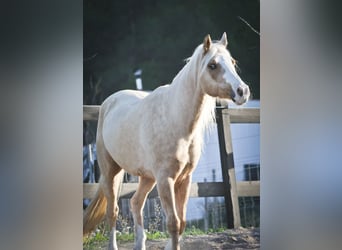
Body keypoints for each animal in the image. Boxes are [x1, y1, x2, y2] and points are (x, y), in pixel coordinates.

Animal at [83, 32, 248, 249]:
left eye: (232, 62)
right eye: (212, 65)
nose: (242, 91)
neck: (176, 119)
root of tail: (108, 103)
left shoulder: (184, 179)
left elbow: (182, 222)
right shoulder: (165, 180)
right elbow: (173, 223)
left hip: (147, 177)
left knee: (136, 203)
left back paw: (140, 244)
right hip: (111, 171)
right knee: (113, 212)